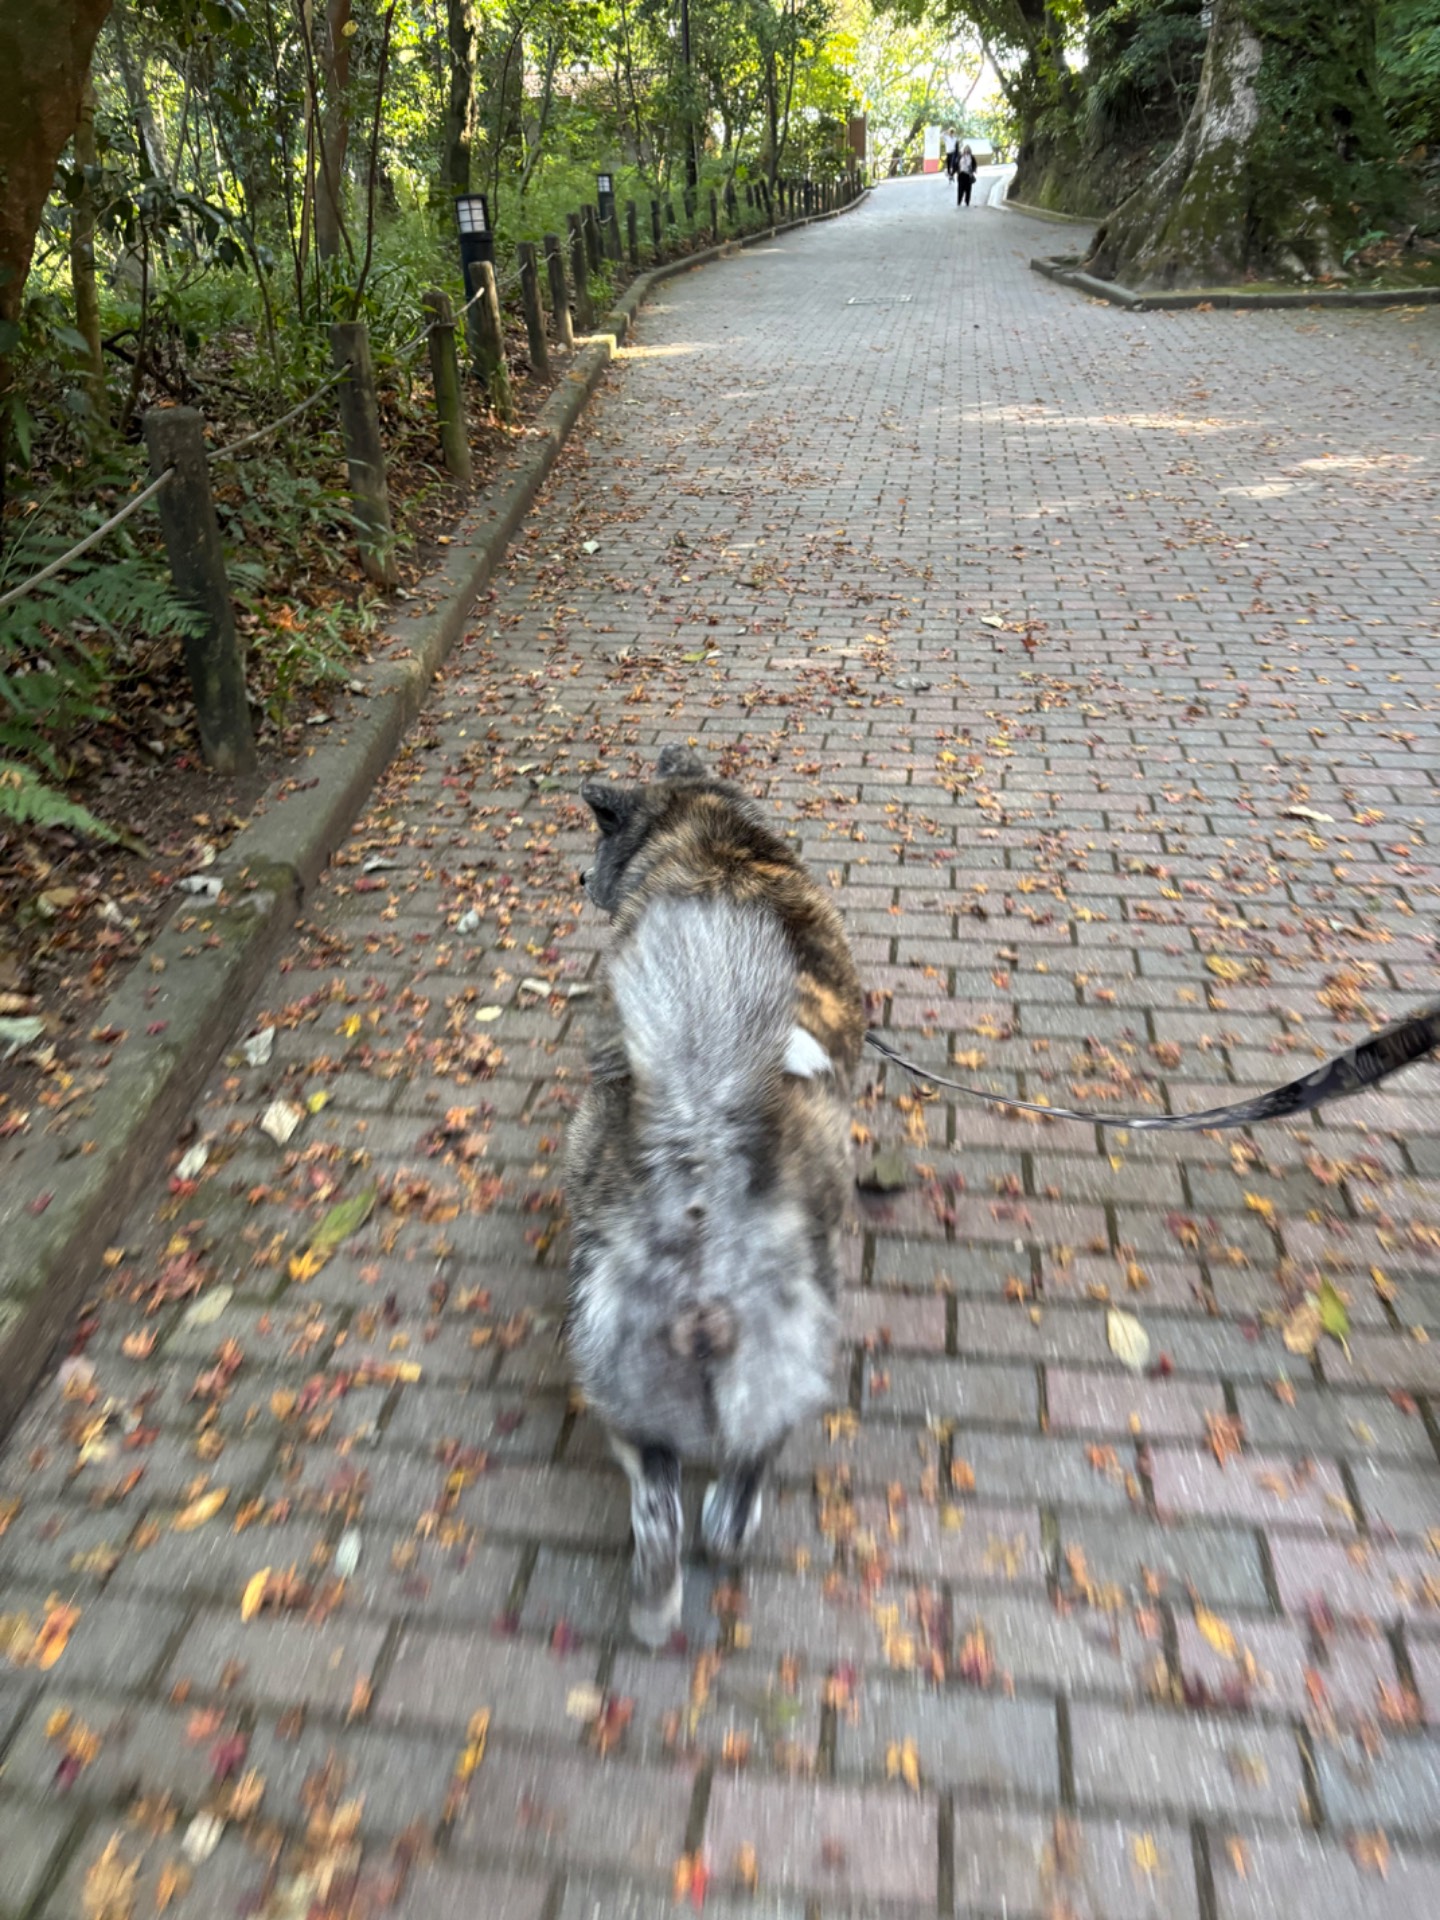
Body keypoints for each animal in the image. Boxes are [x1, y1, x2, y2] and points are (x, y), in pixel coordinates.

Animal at [565, 744, 864, 1644]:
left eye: (597, 838)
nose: (579, 880)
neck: (707, 833)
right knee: (736, 1478)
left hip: (629, 1375)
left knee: (660, 1507)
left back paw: (657, 1601)